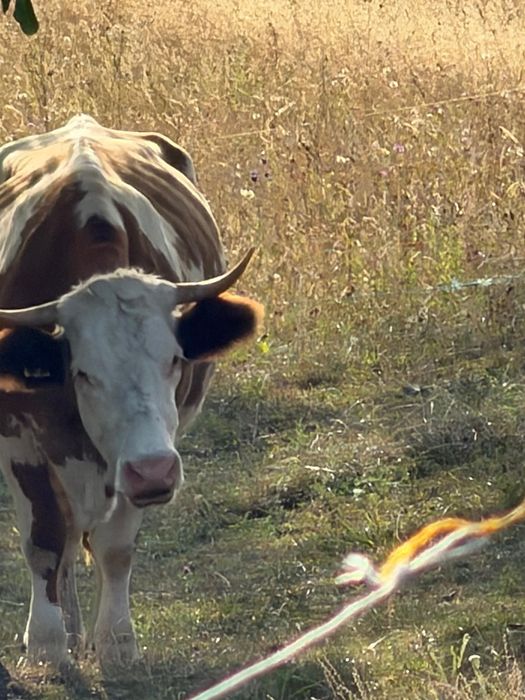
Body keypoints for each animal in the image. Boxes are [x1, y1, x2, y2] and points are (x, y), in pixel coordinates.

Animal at [0, 115, 263, 668]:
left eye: (174, 361)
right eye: (83, 372)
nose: (155, 473)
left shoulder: (141, 455)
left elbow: (114, 547)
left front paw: (117, 642)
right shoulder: (18, 438)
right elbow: (43, 540)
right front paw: (48, 643)